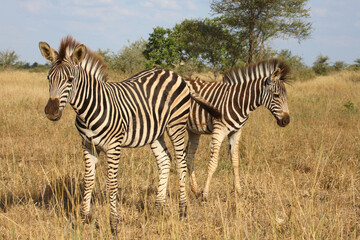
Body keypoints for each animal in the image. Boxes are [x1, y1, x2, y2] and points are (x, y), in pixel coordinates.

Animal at [38, 36, 221, 232]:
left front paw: (114, 224)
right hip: (155, 132)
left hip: (176, 125)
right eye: (48, 78)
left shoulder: (113, 146)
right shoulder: (87, 145)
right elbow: (88, 181)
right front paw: (84, 219)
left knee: (181, 163)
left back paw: (183, 211)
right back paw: (157, 209)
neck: (88, 110)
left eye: (70, 80)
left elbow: (112, 184)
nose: (51, 111)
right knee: (165, 161)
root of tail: (174, 74)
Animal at [184, 59, 292, 202]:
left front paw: (239, 191)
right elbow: (213, 164)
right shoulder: (219, 131)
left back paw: (195, 190)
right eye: (276, 95)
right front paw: (205, 195)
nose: (286, 121)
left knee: (189, 156)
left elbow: (235, 161)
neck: (238, 102)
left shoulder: (236, 132)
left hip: (194, 130)